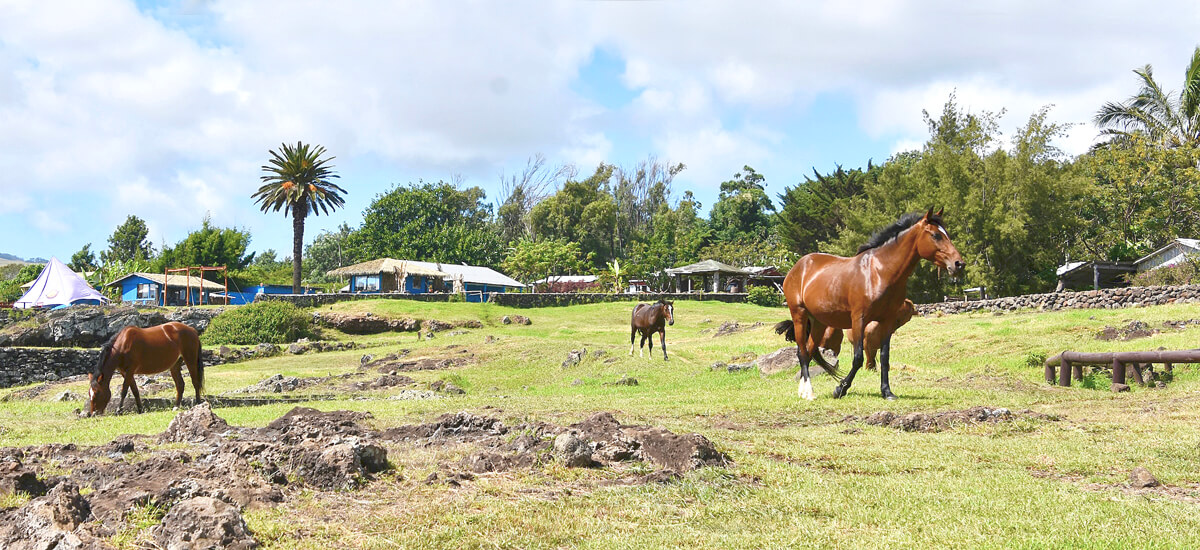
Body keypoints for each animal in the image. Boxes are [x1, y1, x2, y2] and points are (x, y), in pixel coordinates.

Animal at [775, 208, 963, 401]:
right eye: (935, 235)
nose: (958, 264)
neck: (879, 272)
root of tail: (797, 267)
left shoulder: (887, 321)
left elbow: (885, 357)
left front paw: (887, 392)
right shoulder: (859, 319)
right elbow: (858, 358)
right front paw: (840, 389)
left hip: (819, 322)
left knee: (810, 350)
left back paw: (803, 391)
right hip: (799, 315)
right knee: (802, 352)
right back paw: (809, 392)